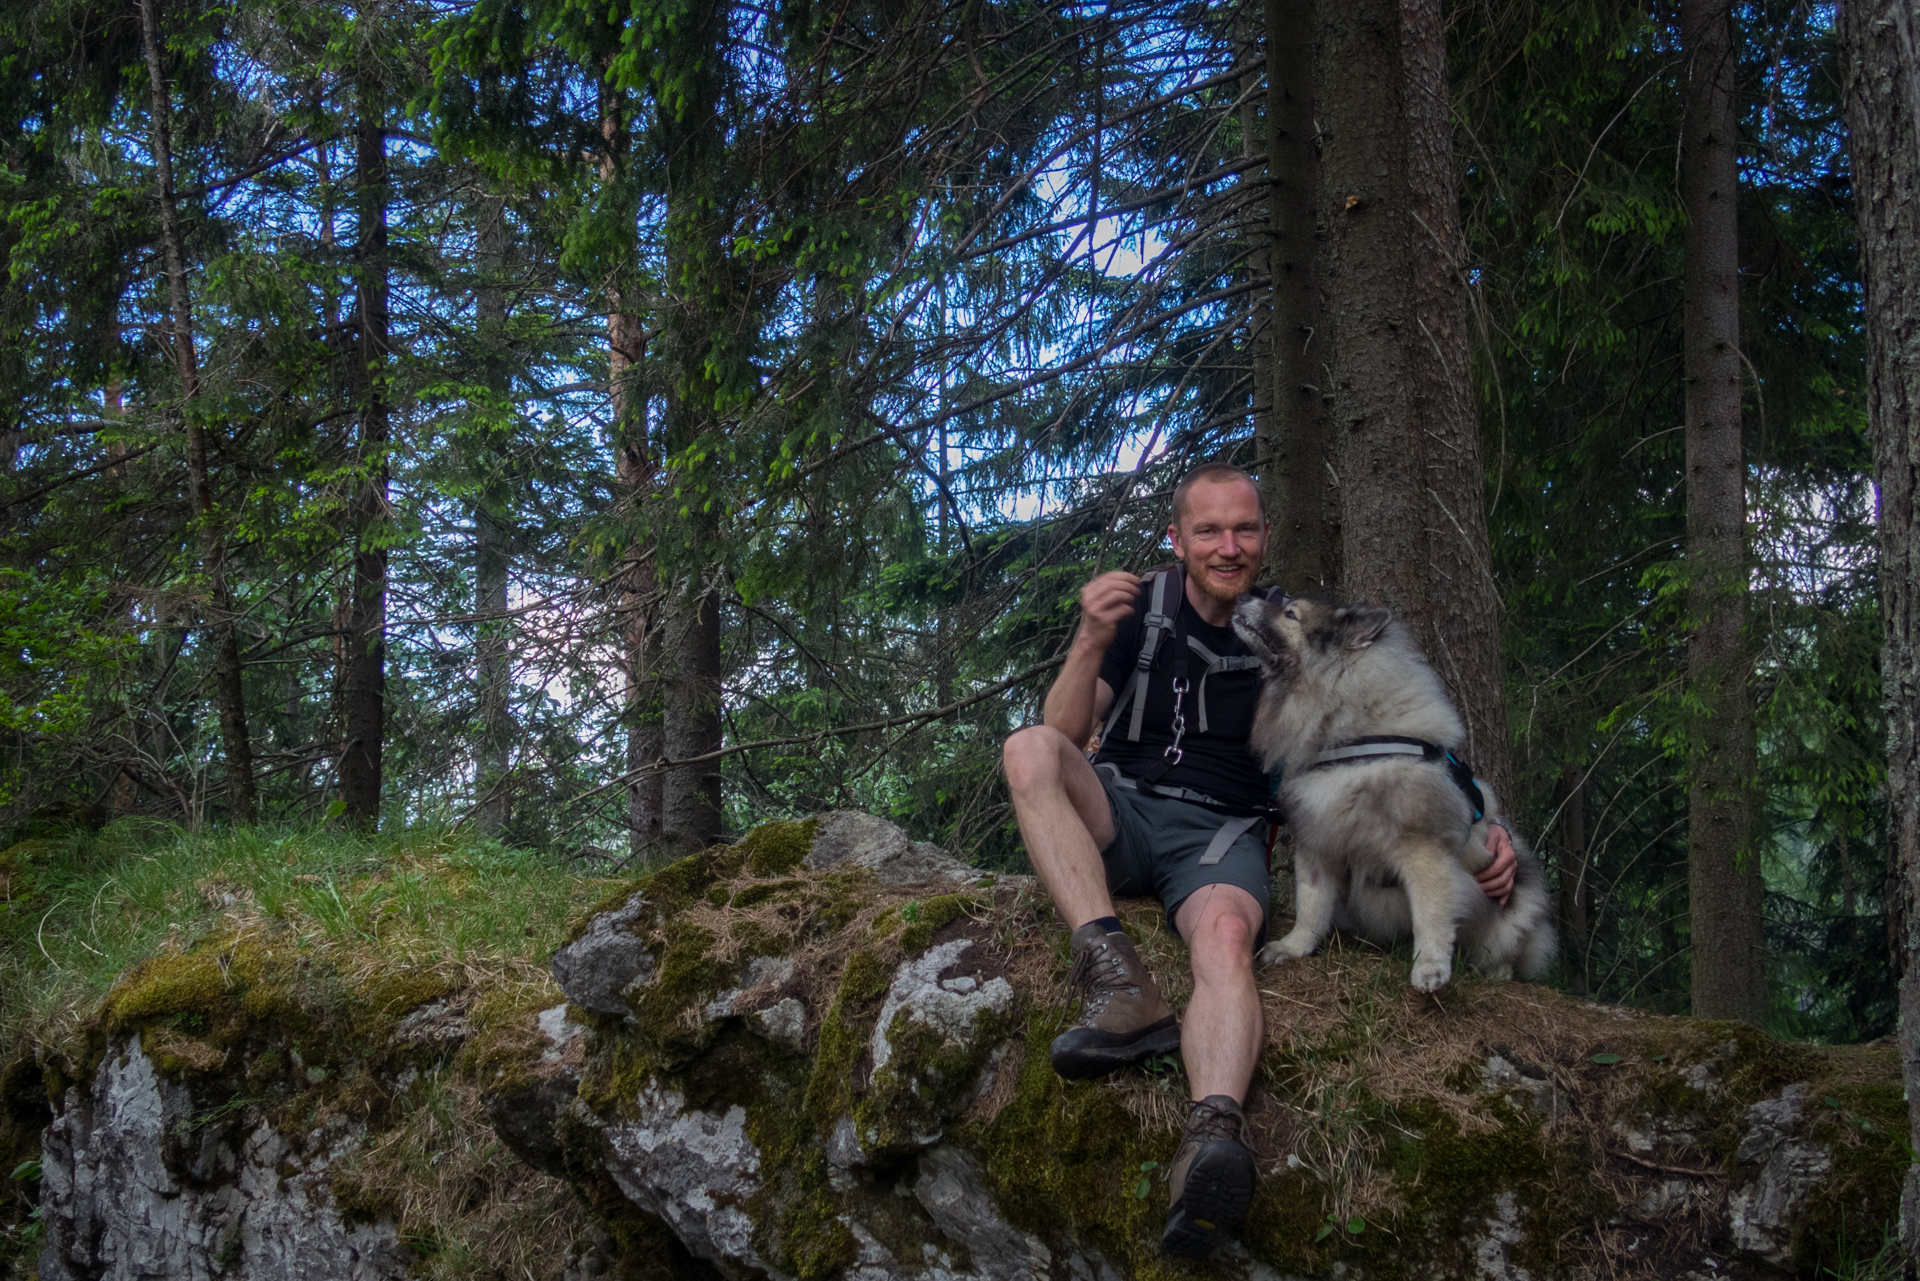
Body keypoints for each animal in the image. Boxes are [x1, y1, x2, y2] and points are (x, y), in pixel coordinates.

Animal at [1228, 595, 1559, 998]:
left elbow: (1431, 915)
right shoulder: (1318, 844)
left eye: (1290, 613)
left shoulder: (1423, 850)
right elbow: (1311, 906)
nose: (1245, 597)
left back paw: (1494, 972)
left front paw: (1430, 968)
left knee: (1503, 952)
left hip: (1511, 916)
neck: (1352, 738)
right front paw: (1295, 946)